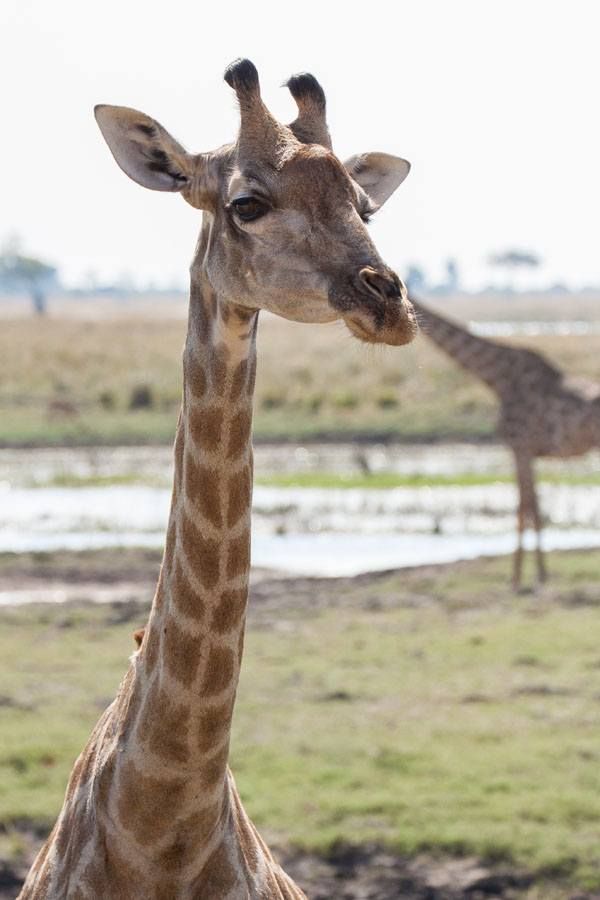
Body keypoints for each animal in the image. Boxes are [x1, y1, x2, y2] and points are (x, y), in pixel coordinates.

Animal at [412, 298, 600, 592]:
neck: (496, 378)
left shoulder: (519, 447)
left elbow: (525, 509)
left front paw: (522, 578)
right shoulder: (526, 452)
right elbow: (532, 506)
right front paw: (536, 574)